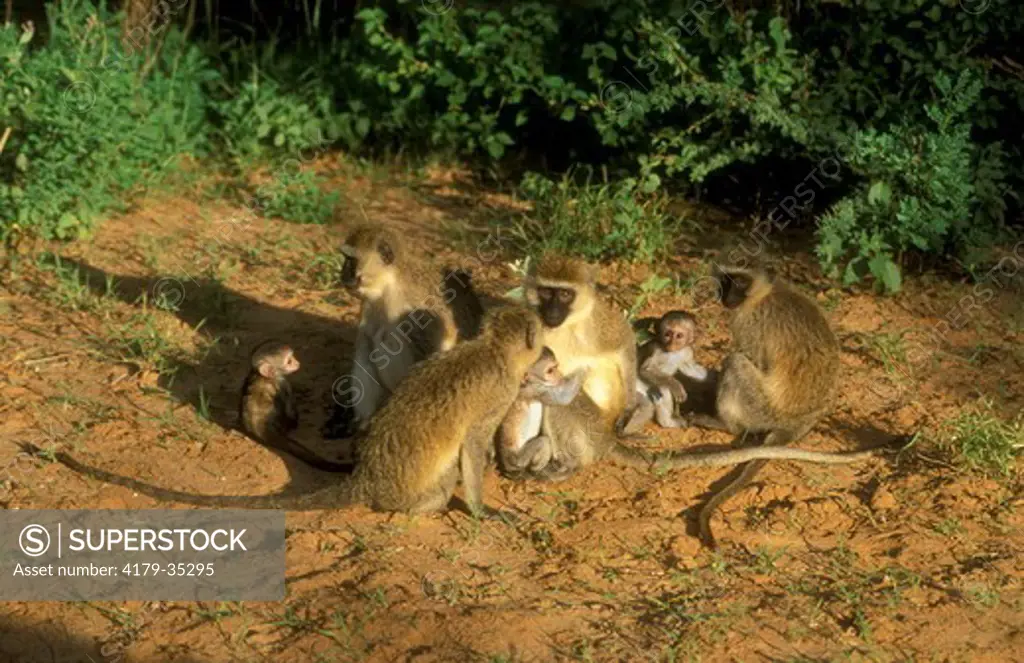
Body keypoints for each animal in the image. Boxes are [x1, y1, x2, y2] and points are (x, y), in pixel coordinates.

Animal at [240, 342, 356, 471]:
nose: (297, 363)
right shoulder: (283, 384)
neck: (262, 377)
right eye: (289, 361)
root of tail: (263, 430)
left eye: (293, 357)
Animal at [335, 225, 479, 432]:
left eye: (351, 260)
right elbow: (365, 355)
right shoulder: (369, 306)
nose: (343, 274)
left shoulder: (418, 309)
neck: (391, 286)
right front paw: (362, 422)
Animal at [524, 254, 634, 430]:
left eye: (564, 294)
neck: (564, 327)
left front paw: (629, 408)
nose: (552, 311)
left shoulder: (596, 323)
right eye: (546, 292)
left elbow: (624, 338)